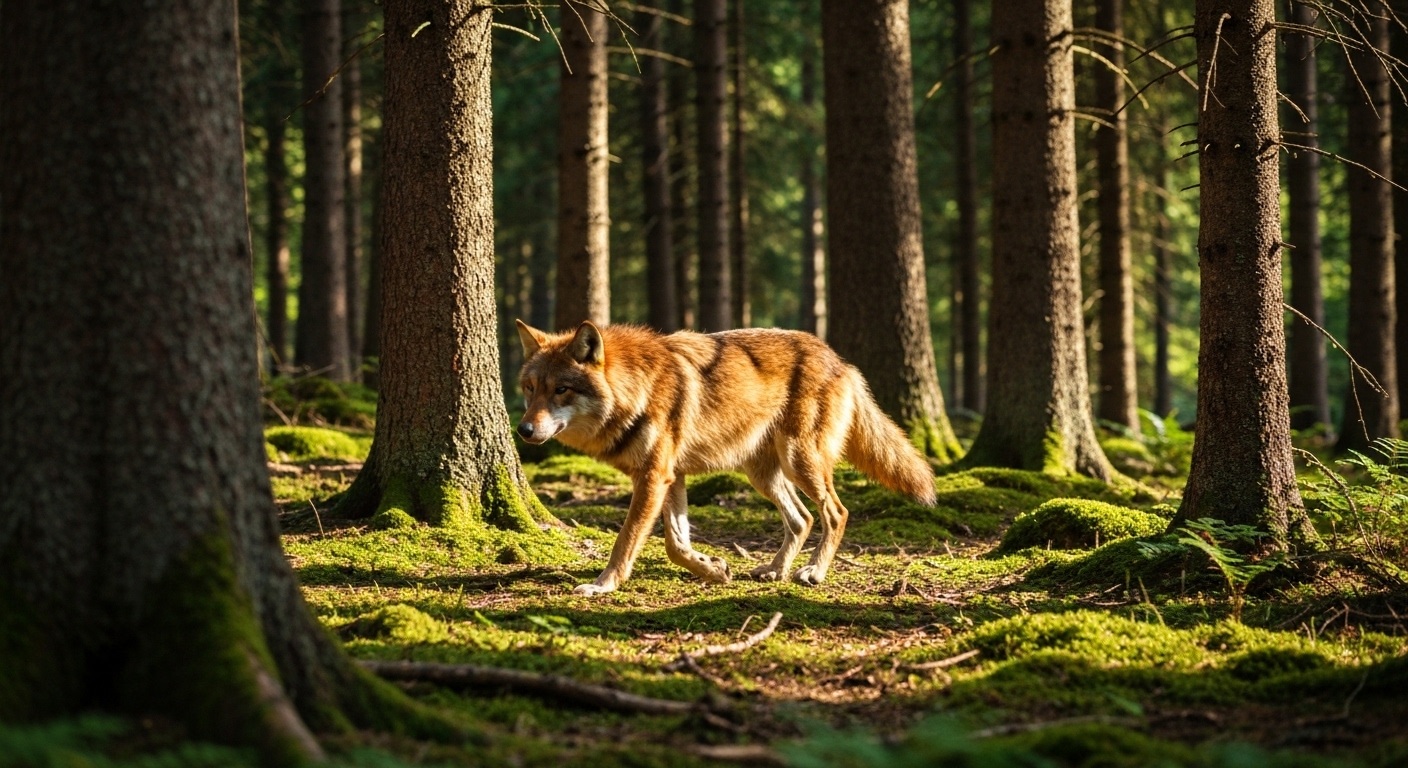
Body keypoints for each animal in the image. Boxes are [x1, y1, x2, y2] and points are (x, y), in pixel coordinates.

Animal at [514, 320, 936, 596]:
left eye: (562, 390)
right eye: (530, 388)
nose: (524, 430)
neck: (636, 390)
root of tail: (840, 360)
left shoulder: (653, 477)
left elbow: (627, 540)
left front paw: (602, 586)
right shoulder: (671, 477)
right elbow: (676, 544)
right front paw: (714, 570)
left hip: (799, 461)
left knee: (836, 512)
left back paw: (813, 572)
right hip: (762, 475)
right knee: (802, 518)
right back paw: (774, 571)